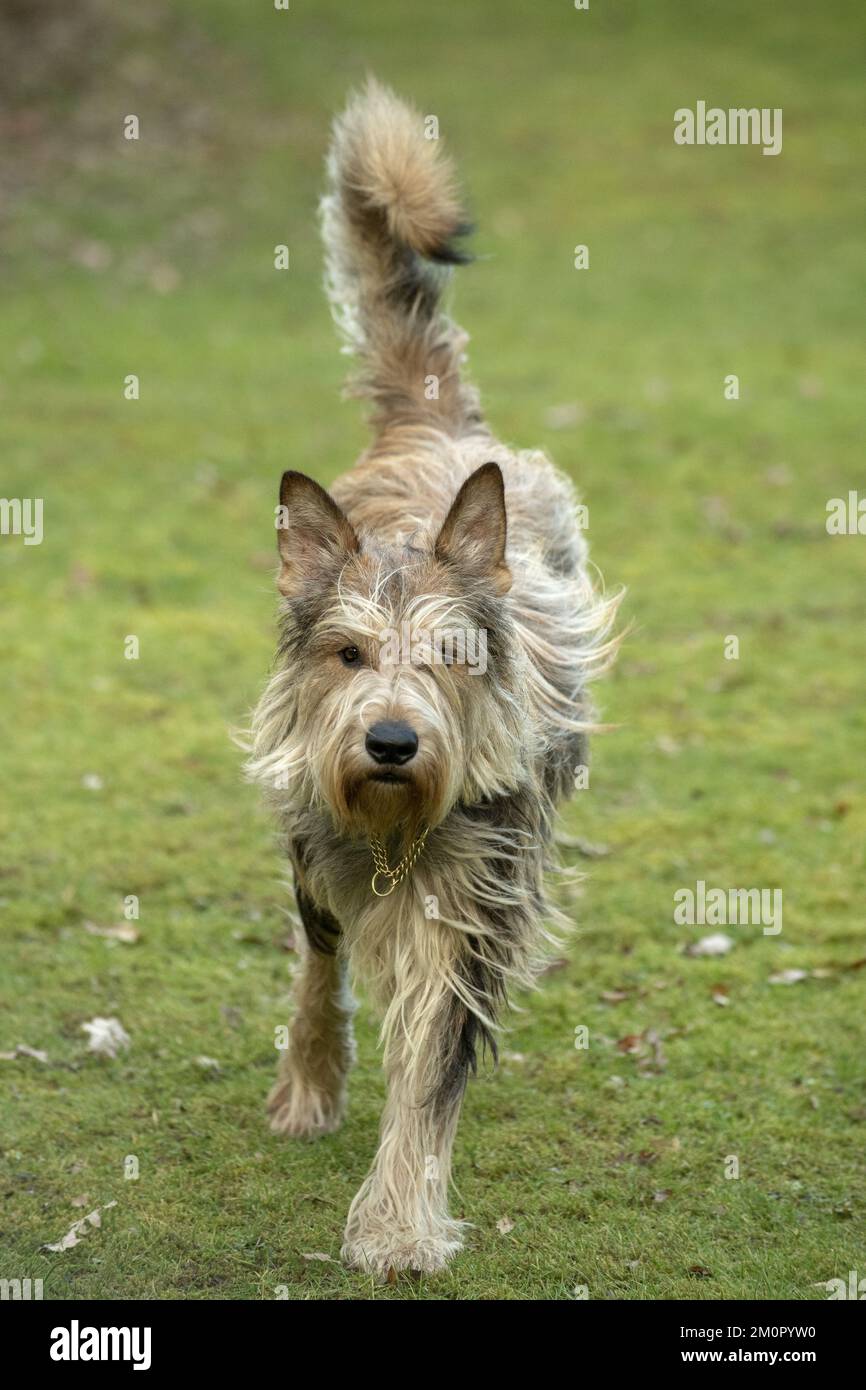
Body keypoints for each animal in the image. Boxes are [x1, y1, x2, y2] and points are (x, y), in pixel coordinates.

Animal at [247, 81, 619, 1273]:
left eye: (451, 658)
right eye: (348, 655)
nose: (392, 741)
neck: (396, 822)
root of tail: (436, 421)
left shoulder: (477, 894)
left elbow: (428, 1064)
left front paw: (397, 1224)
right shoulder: (318, 834)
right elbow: (323, 968)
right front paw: (315, 1082)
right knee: (317, 957)